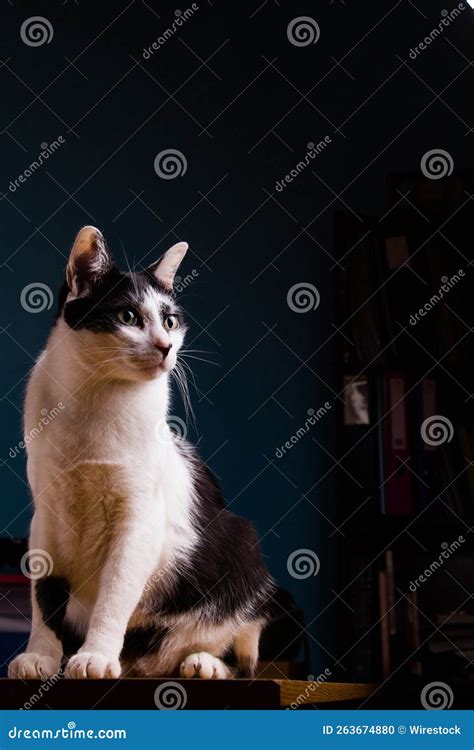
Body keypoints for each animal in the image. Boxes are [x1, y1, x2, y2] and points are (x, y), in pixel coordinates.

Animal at [8, 225, 274, 680]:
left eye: (170, 320)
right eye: (128, 317)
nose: (166, 346)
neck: (98, 399)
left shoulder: (140, 519)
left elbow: (115, 592)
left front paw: (95, 656)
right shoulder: (44, 515)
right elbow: (45, 596)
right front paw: (41, 656)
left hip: (243, 543)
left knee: (245, 652)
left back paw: (202, 662)